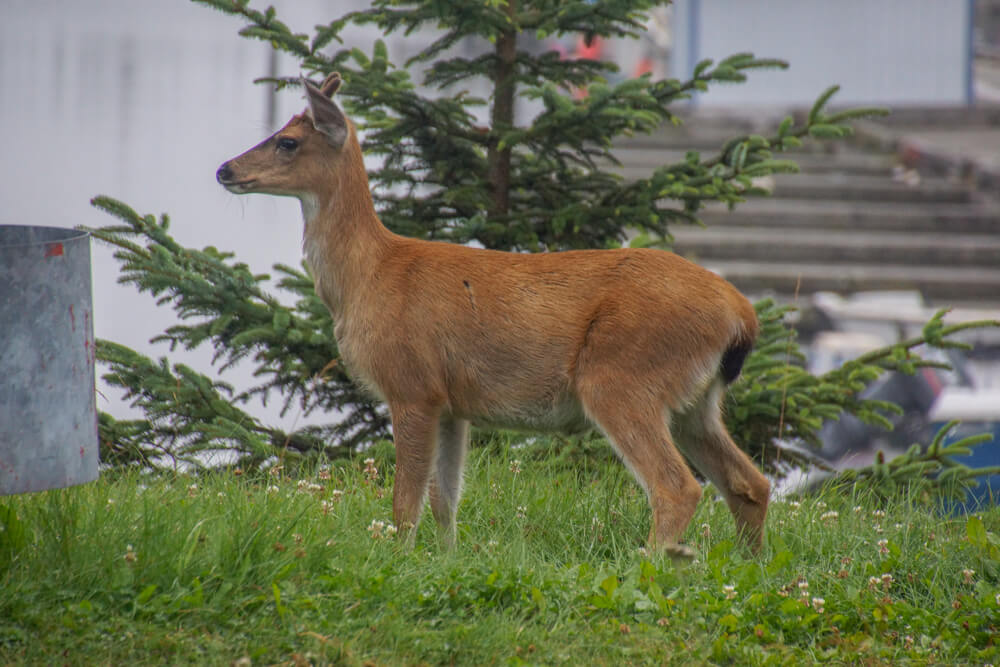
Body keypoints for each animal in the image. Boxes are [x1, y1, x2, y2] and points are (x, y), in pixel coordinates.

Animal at [215, 73, 768, 560]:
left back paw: (646, 565)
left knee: (678, 487)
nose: (225, 170)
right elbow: (445, 499)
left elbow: (405, 504)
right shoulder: (452, 402)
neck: (367, 276)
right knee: (750, 482)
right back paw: (748, 566)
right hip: (695, 401)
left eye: (287, 142)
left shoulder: (411, 384)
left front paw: (396, 560)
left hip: (623, 378)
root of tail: (742, 314)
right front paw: (446, 562)